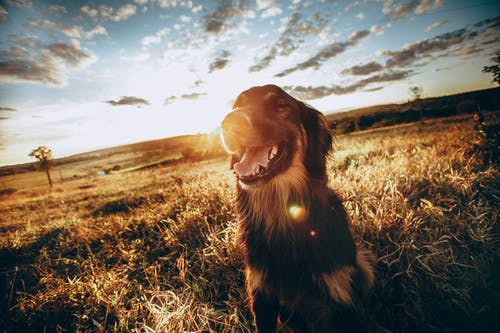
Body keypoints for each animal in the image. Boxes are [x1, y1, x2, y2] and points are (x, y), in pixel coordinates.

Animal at [221, 84, 380, 330]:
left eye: (280, 105)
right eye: (237, 105)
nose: (229, 122)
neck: (282, 213)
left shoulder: (341, 295)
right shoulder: (262, 296)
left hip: (364, 263)